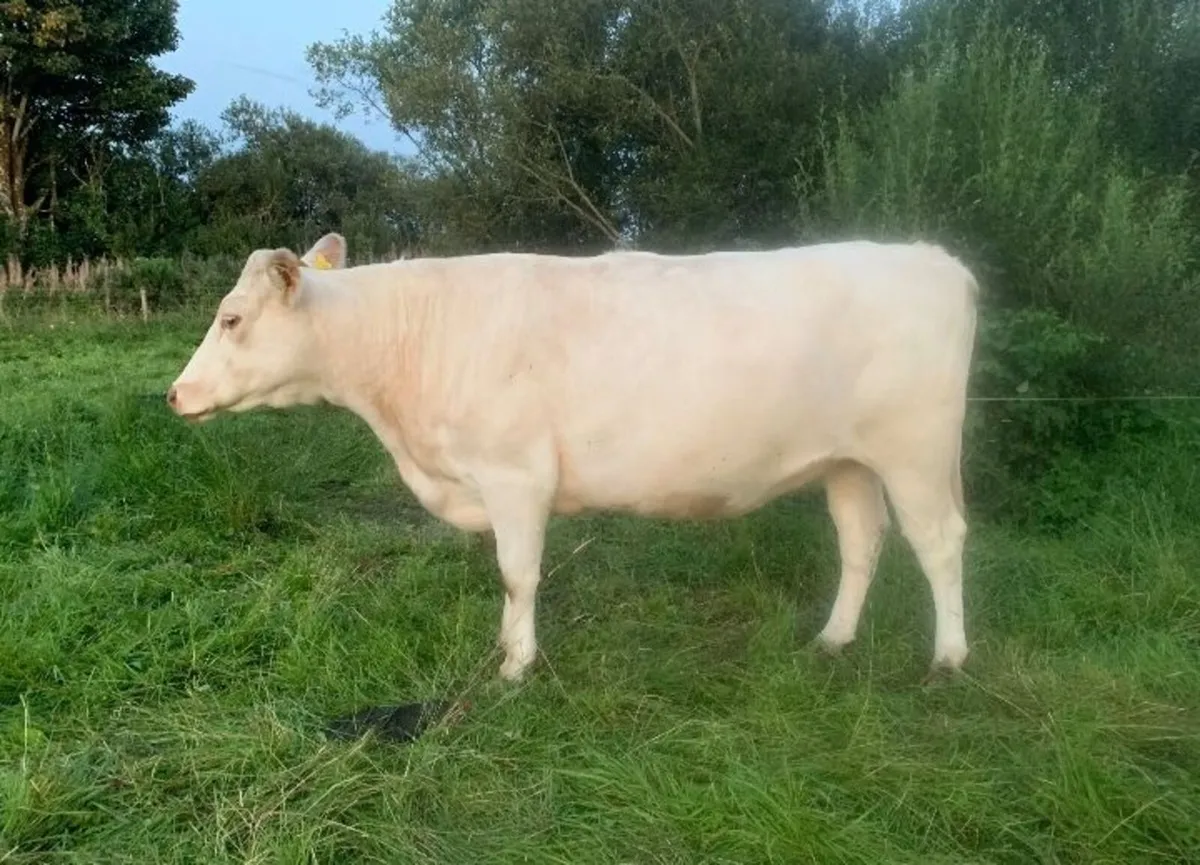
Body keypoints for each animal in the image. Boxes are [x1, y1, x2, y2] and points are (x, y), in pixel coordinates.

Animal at [168, 232, 979, 683]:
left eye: (231, 318)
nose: (176, 394)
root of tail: (933, 259)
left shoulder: (515, 475)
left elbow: (516, 574)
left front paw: (515, 665)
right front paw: (509, 649)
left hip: (915, 449)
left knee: (940, 542)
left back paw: (948, 658)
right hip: (848, 460)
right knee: (862, 541)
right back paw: (833, 640)